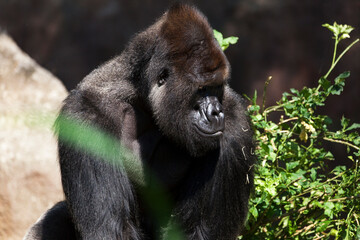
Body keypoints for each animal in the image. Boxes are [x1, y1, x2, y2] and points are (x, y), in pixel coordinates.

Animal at [23, 3, 255, 240]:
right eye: (202, 89)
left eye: (217, 86)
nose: (216, 112)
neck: (144, 99)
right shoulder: (87, 114)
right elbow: (113, 227)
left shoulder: (235, 124)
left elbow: (199, 230)